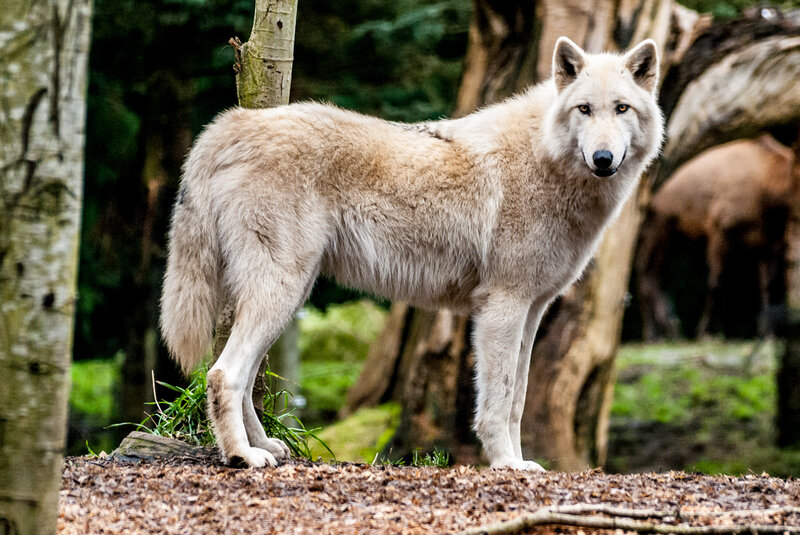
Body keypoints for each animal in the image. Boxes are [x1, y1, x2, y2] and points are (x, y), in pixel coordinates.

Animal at [160, 37, 664, 470]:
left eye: (621, 108)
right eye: (585, 109)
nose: (603, 159)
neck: (545, 157)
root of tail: (232, 122)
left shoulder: (532, 310)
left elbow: (517, 400)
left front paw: (521, 461)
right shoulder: (502, 307)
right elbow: (497, 402)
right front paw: (506, 464)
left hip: (288, 295)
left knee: (242, 377)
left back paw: (263, 445)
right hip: (281, 291)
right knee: (223, 374)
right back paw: (241, 456)